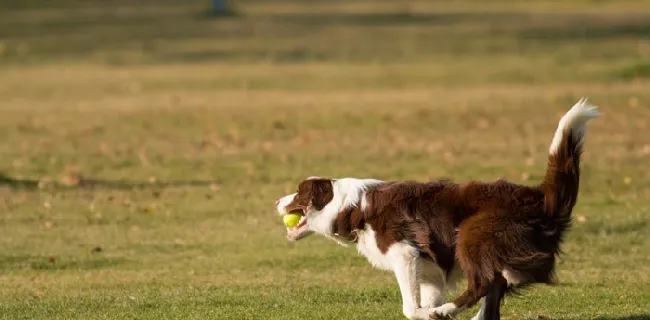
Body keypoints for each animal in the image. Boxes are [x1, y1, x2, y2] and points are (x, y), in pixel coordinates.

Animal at [272, 99, 596, 318]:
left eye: (299, 192)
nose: (276, 201)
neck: (353, 207)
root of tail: (539, 197)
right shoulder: (427, 268)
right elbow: (426, 296)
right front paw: (431, 311)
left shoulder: (404, 253)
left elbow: (410, 307)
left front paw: (428, 313)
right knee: (493, 295)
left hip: (473, 233)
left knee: (482, 283)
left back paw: (446, 311)